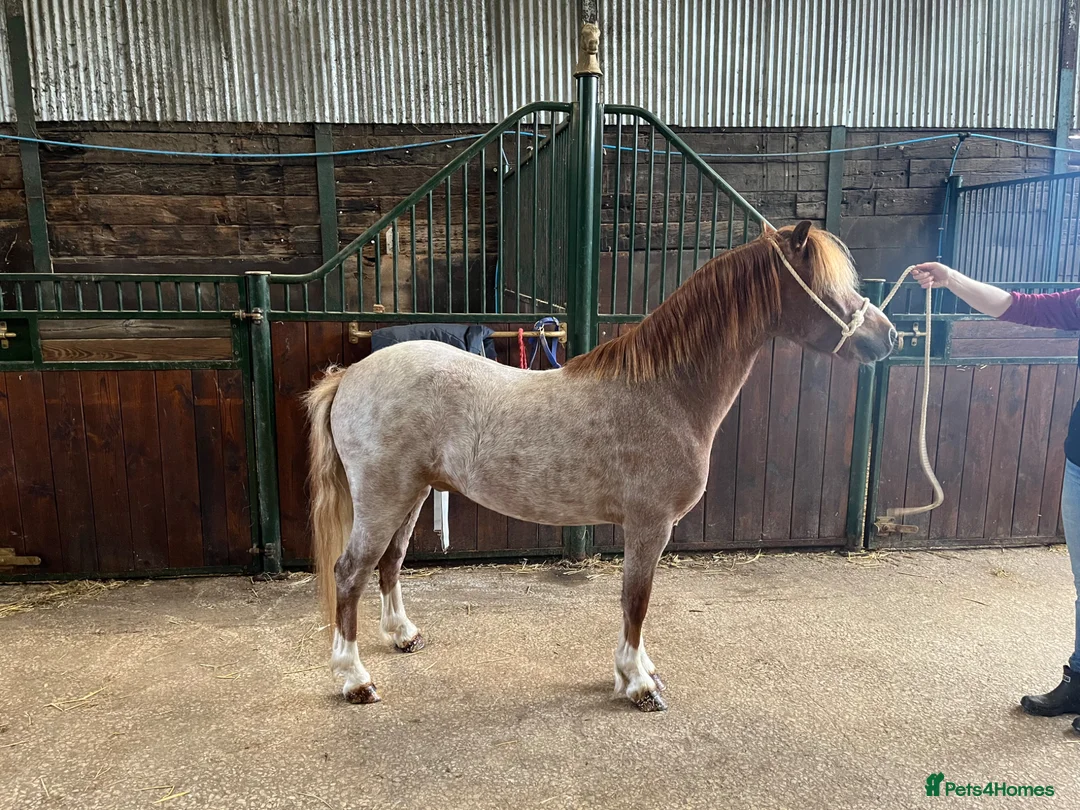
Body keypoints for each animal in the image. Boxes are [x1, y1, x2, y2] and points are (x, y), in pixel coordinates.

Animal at [303, 220, 897, 712]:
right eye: (823, 285)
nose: (888, 336)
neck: (665, 391)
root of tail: (349, 376)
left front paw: (642, 671)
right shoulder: (649, 525)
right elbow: (636, 600)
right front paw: (637, 683)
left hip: (412, 494)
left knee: (390, 563)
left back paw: (403, 635)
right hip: (383, 497)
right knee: (350, 572)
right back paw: (354, 679)